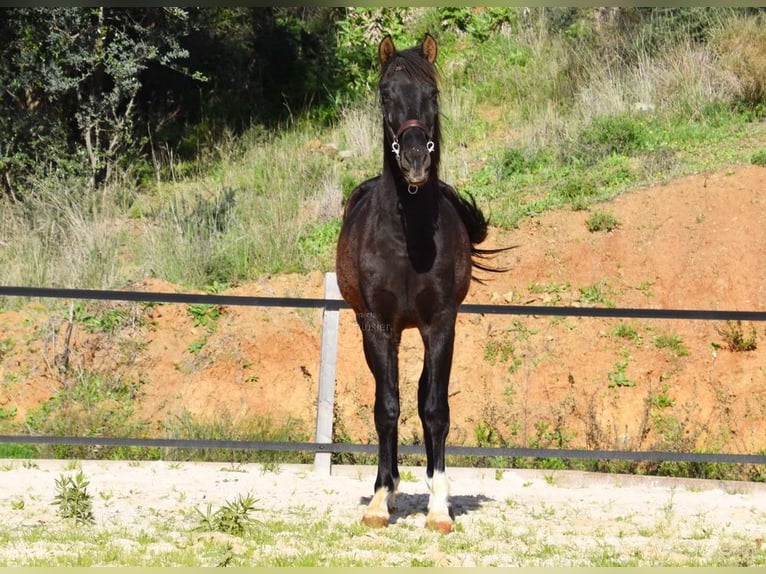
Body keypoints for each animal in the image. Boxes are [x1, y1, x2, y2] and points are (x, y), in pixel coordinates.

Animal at [340, 33, 500, 532]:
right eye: (384, 95)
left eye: (432, 94)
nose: (414, 161)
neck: (407, 237)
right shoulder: (378, 326)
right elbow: (385, 408)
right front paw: (378, 500)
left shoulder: (441, 324)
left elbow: (434, 409)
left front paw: (439, 508)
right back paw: (390, 489)